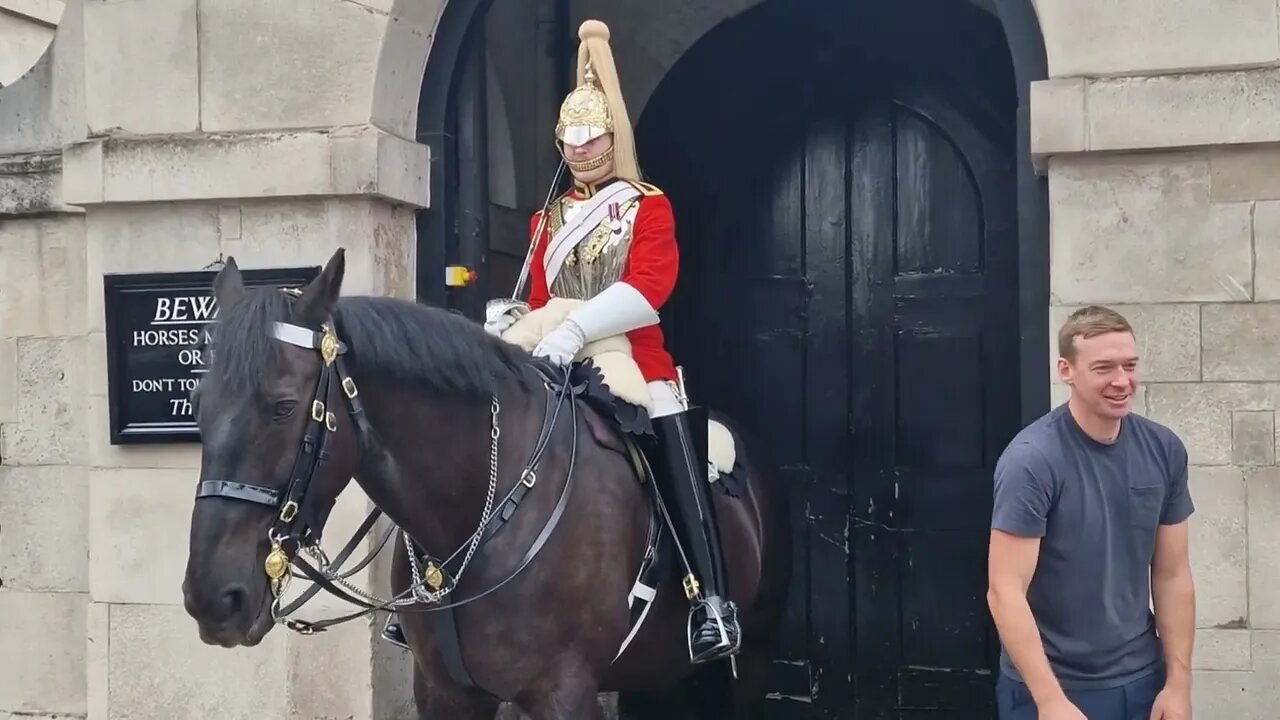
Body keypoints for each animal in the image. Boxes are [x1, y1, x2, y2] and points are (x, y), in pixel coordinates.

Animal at [175, 248, 783, 717]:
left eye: (282, 407)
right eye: (199, 406)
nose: (214, 598)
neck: (478, 515)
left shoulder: (563, 690)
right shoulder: (446, 693)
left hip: (753, 654)